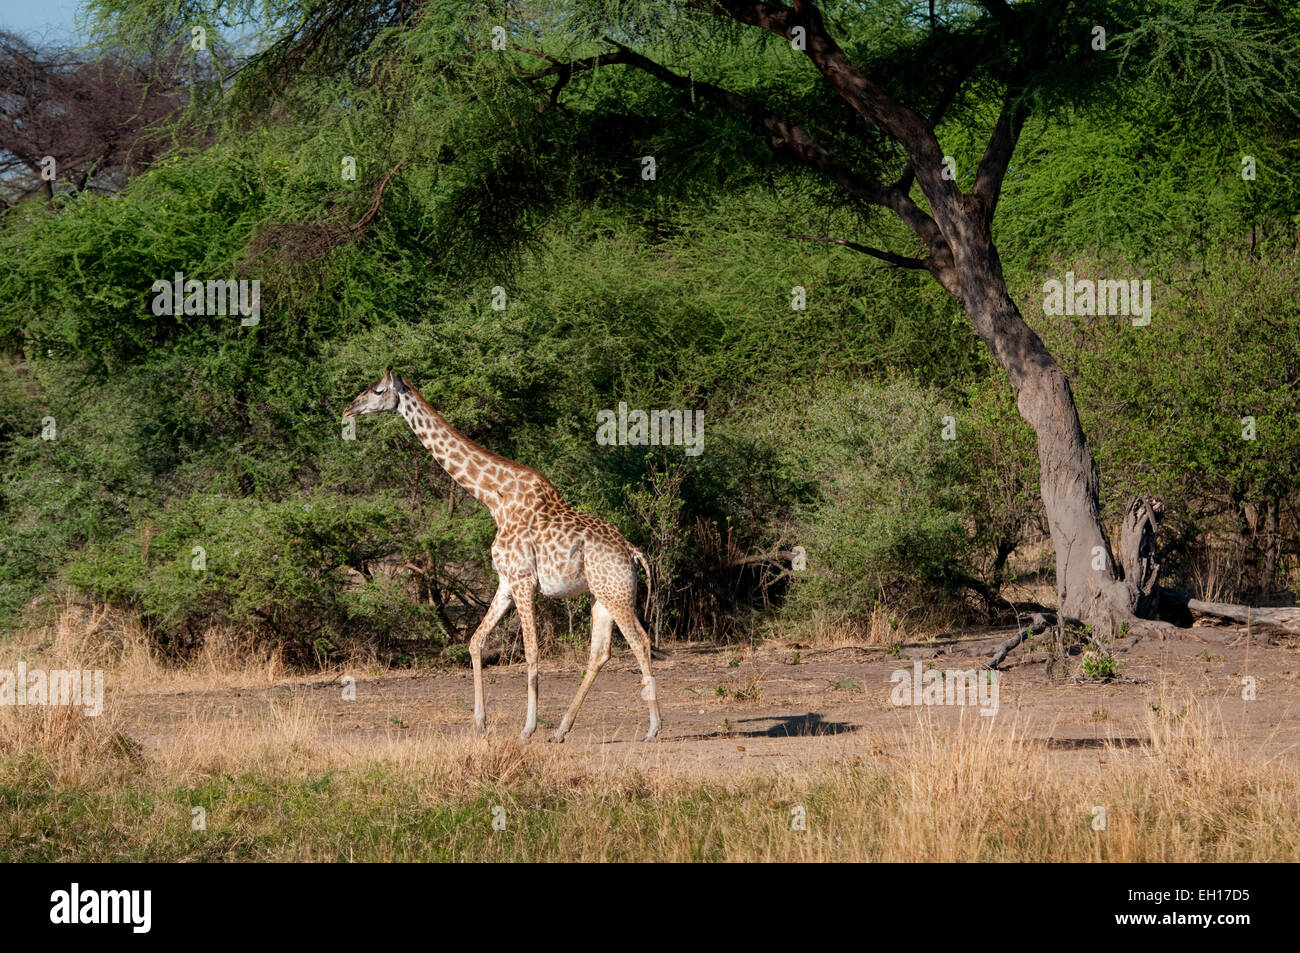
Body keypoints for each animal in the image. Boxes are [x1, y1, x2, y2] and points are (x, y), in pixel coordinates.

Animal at [342, 368, 662, 743]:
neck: (495, 499)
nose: (348, 410)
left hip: (616, 593)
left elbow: (532, 651)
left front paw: (527, 729)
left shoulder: (524, 580)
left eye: (378, 391)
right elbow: (475, 641)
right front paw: (480, 723)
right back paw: (561, 731)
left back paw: (653, 729)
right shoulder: (506, 582)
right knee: (600, 653)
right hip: (603, 596)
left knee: (640, 641)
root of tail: (633, 552)